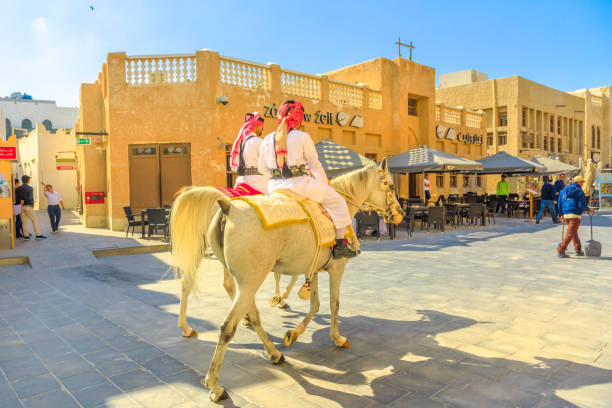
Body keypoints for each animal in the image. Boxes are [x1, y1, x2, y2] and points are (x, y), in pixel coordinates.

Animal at [170, 159, 404, 402]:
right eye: (390, 186)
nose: (400, 213)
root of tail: (228, 206)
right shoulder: (336, 268)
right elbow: (333, 304)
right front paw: (336, 337)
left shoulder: (314, 268)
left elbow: (314, 304)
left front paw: (294, 332)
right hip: (248, 282)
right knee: (227, 326)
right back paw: (215, 385)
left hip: (245, 281)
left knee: (245, 309)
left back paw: (273, 352)